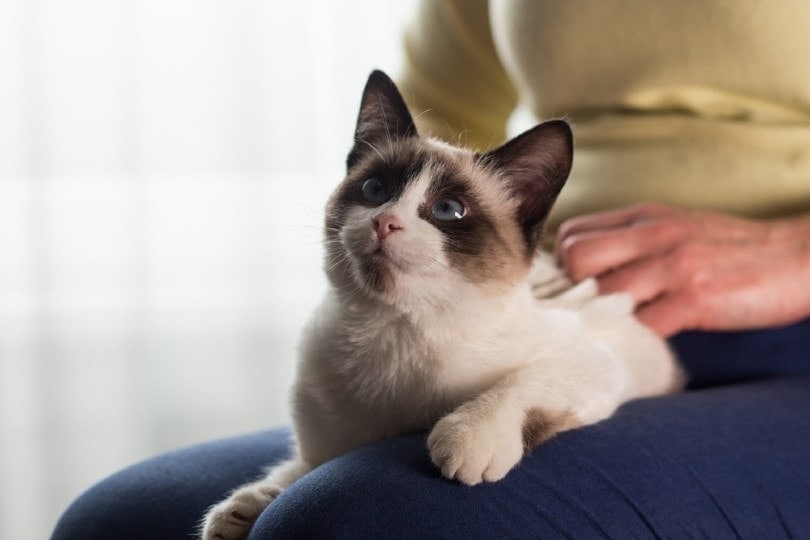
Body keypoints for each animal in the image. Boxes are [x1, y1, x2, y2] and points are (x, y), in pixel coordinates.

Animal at [199, 71, 680, 540]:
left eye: (449, 209)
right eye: (375, 189)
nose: (384, 222)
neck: (391, 329)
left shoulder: (597, 361)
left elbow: (523, 381)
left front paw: (469, 440)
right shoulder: (327, 445)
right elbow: (298, 471)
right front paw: (249, 505)